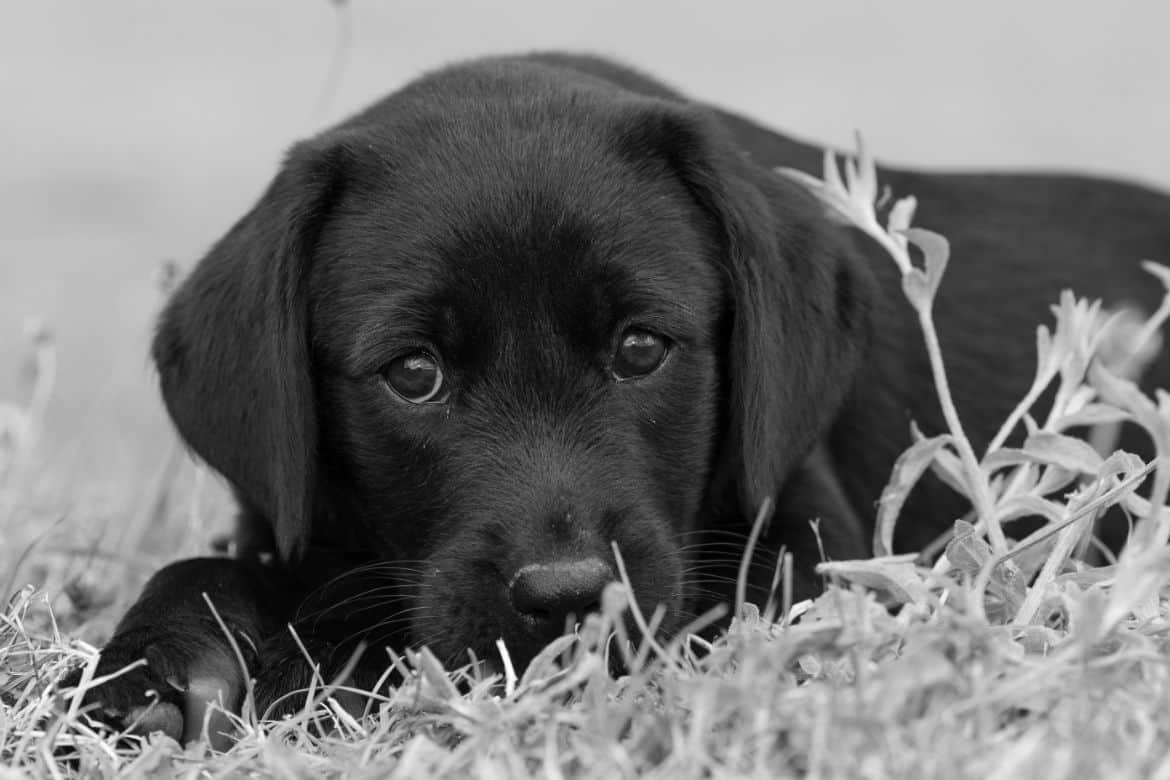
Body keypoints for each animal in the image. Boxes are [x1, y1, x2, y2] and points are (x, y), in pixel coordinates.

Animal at [75, 51, 1170, 743]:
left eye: (642, 349)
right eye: (413, 373)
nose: (569, 598)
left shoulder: (803, 549)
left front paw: (315, 667)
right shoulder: (287, 520)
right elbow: (205, 569)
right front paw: (155, 669)